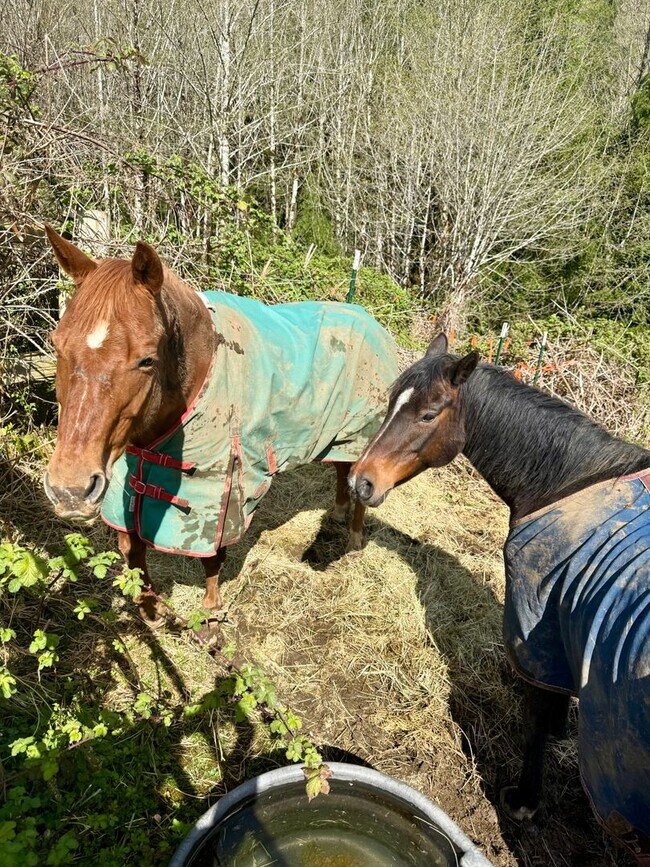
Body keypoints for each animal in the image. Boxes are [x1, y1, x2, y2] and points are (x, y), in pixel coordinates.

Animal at [42, 226, 399, 625]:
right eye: (57, 345)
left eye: (147, 359)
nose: (70, 490)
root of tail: (367, 318)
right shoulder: (130, 478)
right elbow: (131, 549)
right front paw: (151, 612)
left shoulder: (223, 486)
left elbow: (213, 556)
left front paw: (211, 612)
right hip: (338, 432)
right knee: (341, 470)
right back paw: (337, 513)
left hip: (364, 431)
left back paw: (353, 540)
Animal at [351, 333, 650, 864]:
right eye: (390, 402)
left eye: (429, 414)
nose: (360, 481)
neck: (566, 484)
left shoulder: (537, 628)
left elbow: (538, 717)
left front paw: (525, 801)